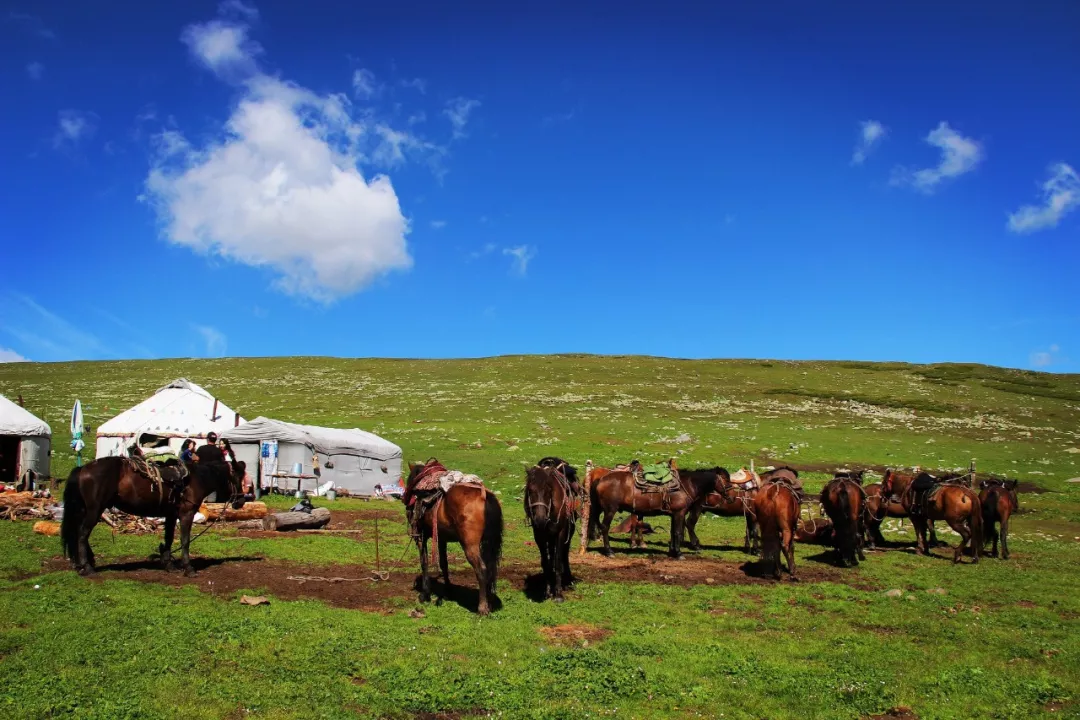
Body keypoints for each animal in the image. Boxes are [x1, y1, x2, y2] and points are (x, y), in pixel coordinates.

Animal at [403, 459, 503, 617]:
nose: (405, 501)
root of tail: (484, 496)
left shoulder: (421, 536)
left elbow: (424, 562)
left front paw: (425, 595)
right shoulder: (442, 538)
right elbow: (444, 563)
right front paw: (448, 591)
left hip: (470, 545)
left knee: (481, 569)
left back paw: (482, 608)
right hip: (489, 543)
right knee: (491, 568)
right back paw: (490, 602)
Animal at [524, 462, 583, 604]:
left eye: (548, 491)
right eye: (530, 491)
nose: (540, 519)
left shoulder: (561, 533)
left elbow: (557, 561)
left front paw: (558, 594)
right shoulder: (539, 535)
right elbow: (546, 562)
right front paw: (547, 592)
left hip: (569, 531)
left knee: (564, 553)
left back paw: (568, 580)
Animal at [587, 459, 721, 561]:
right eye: (723, 480)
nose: (726, 495)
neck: (686, 485)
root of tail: (600, 479)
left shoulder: (674, 514)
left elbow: (673, 532)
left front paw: (672, 551)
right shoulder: (680, 513)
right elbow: (678, 532)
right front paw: (679, 554)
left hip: (599, 508)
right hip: (610, 510)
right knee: (605, 527)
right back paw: (609, 551)